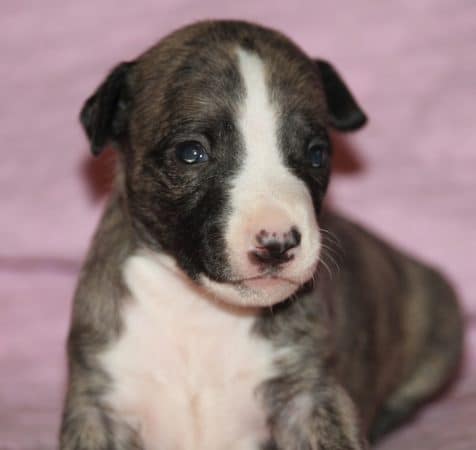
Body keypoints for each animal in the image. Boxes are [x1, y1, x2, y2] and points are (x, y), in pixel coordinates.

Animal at [60, 20, 464, 450]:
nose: (277, 243)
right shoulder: (95, 406)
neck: (200, 310)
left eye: (317, 153)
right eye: (190, 153)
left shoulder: (309, 399)